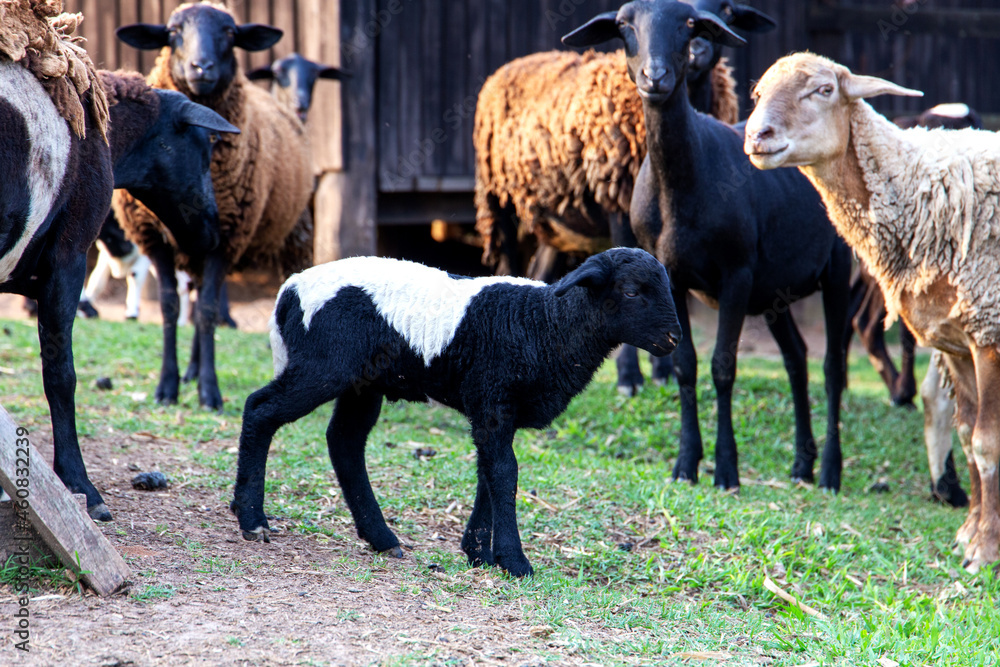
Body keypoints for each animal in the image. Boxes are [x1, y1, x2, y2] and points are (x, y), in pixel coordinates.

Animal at [115, 2, 314, 410]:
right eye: (173, 32)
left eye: (229, 32)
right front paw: (168, 385)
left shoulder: (227, 238)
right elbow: (171, 306)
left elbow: (209, 310)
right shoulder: (154, 238)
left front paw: (209, 391)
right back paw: (190, 371)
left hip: (295, 237)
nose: (201, 66)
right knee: (194, 298)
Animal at [231, 247, 682, 577]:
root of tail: (289, 290)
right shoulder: (493, 399)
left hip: (362, 382)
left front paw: (479, 552)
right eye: (631, 291)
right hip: (323, 367)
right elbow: (504, 472)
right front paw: (514, 562)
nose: (674, 338)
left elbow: (490, 471)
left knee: (344, 441)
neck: (545, 324)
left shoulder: (492, 410)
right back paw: (252, 518)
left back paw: (381, 538)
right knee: (260, 409)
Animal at [564, 2, 851, 492]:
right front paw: (686, 464)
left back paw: (830, 472)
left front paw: (726, 469)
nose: (655, 75)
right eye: (623, 25)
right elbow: (685, 364)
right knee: (796, 357)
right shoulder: (671, 279)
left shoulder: (736, 273)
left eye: (689, 24)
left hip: (836, 269)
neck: (680, 186)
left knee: (832, 367)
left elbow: (723, 366)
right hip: (773, 291)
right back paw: (801, 465)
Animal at [744, 52, 1000, 572]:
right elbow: (967, 436)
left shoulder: (988, 331)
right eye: (758, 94)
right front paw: (968, 534)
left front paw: (985, 550)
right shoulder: (957, 343)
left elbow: (987, 443)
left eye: (823, 90)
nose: (756, 135)